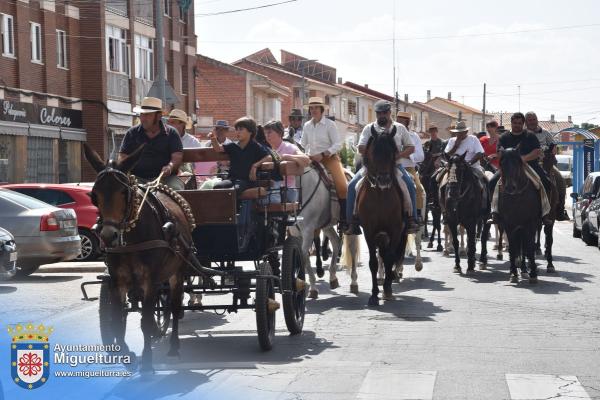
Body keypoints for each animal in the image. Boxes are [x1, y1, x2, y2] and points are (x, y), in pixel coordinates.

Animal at [83, 144, 196, 372]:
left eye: (124, 192)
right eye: (94, 194)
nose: (108, 236)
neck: (131, 239)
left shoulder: (150, 281)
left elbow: (145, 320)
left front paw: (147, 365)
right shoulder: (117, 281)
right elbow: (117, 321)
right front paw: (126, 355)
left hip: (178, 271)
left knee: (174, 305)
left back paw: (173, 347)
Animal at [356, 126, 408, 308]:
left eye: (392, 153)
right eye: (374, 153)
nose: (384, 180)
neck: (380, 195)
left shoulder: (395, 229)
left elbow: (390, 257)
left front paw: (387, 290)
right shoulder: (369, 230)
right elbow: (373, 262)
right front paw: (373, 295)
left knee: (392, 256)